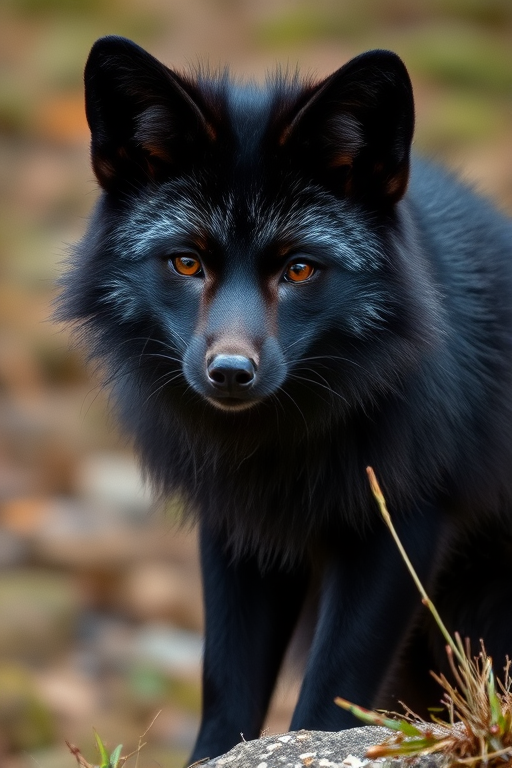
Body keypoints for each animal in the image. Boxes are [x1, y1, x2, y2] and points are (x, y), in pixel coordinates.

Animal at [59, 36, 512, 761]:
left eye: (299, 269)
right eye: (187, 262)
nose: (230, 372)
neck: (276, 454)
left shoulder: (401, 523)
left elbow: (330, 696)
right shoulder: (240, 533)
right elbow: (226, 687)